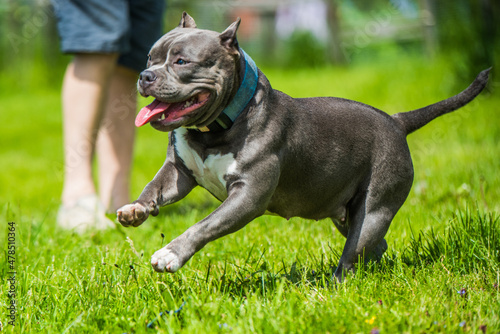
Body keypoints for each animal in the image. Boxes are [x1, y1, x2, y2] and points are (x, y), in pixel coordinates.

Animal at [116, 12, 488, 282]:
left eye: (182, 62)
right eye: (149, 58)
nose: (145, 75)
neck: (215, 129)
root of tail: (396, 121)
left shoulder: (248, 196)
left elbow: (204, 225)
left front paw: (171, 254)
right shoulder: (179, 172)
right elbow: (155, 187)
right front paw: (135, 209)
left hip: (373, 209)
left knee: (355, 250)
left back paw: (337, 284)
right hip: (348, 214)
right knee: (372, 245)